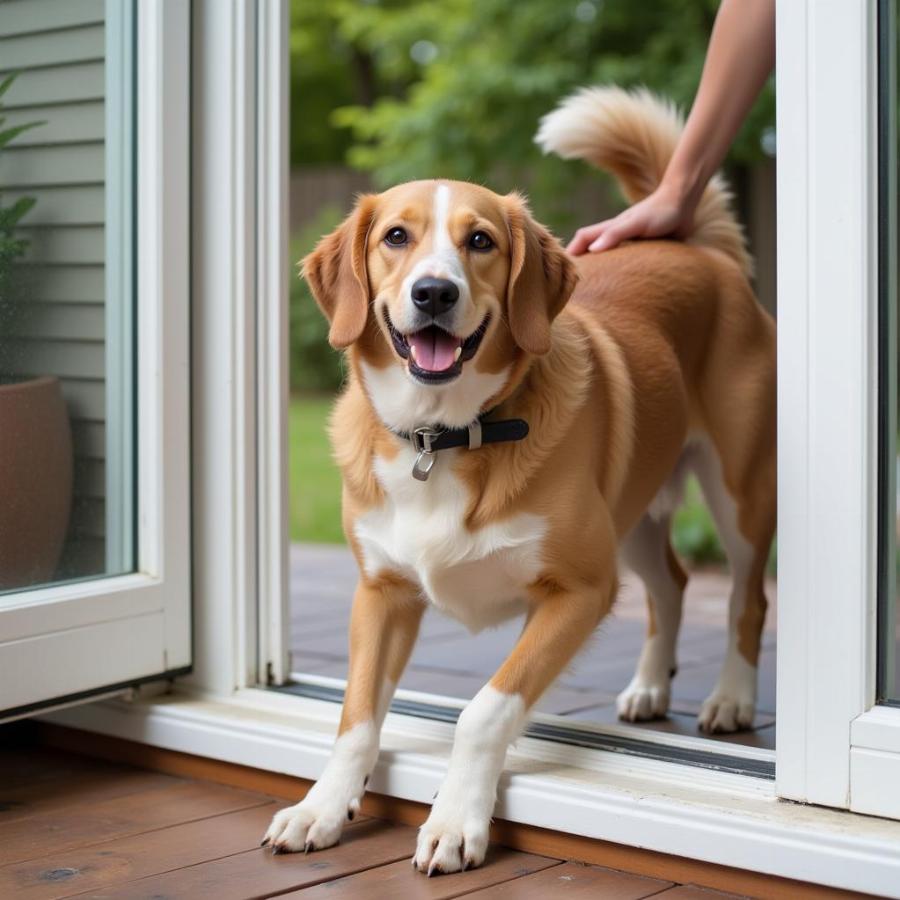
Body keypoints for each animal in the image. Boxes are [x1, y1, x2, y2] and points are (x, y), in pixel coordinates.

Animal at [264, 88, 776, 876]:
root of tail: (698, 249)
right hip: (631, 516)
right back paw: (651, 685)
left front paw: (454, 821)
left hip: (738, 495)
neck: (442, 437)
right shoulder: (382, 595)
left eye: (480, 242)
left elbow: (483, 710)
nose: (434, 293)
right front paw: (322, 806)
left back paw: (731, 698)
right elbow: (354, 718)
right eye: (395, 237)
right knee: (672, 584)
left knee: (747, 599)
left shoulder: (580, 591)